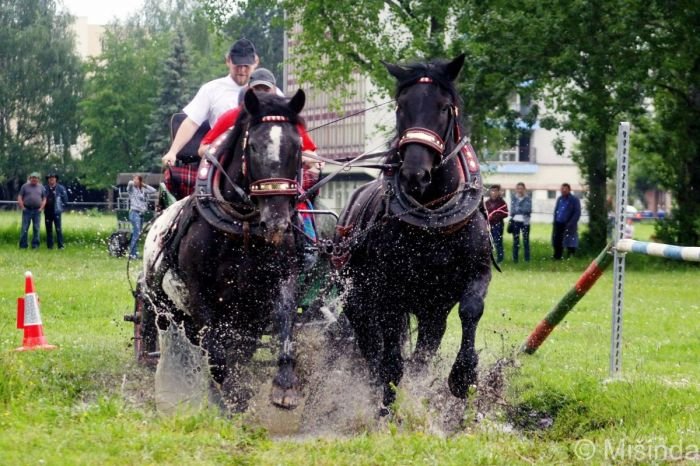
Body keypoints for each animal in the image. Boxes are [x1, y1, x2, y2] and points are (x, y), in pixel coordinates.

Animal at [142, 89, 306, 410]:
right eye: (253, 147)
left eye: (297, 146)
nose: (277, 221)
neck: (242, 227)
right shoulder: (200, 293)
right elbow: (217, 356)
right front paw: (234, 397)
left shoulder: (278, 283)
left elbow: (285, 322)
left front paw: (284, 386)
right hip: (167, 311)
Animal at [334, 54, 492, 410]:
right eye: (400, 106)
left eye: (444, 107)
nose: (414, 175)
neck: (432, 217)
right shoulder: (390, 292)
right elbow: (390, 358)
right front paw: (388, 402)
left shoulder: (476, 273)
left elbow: (471, 309)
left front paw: (463, 376)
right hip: (358, 299)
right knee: (371, 344)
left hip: (432, 310)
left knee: (422, 350)